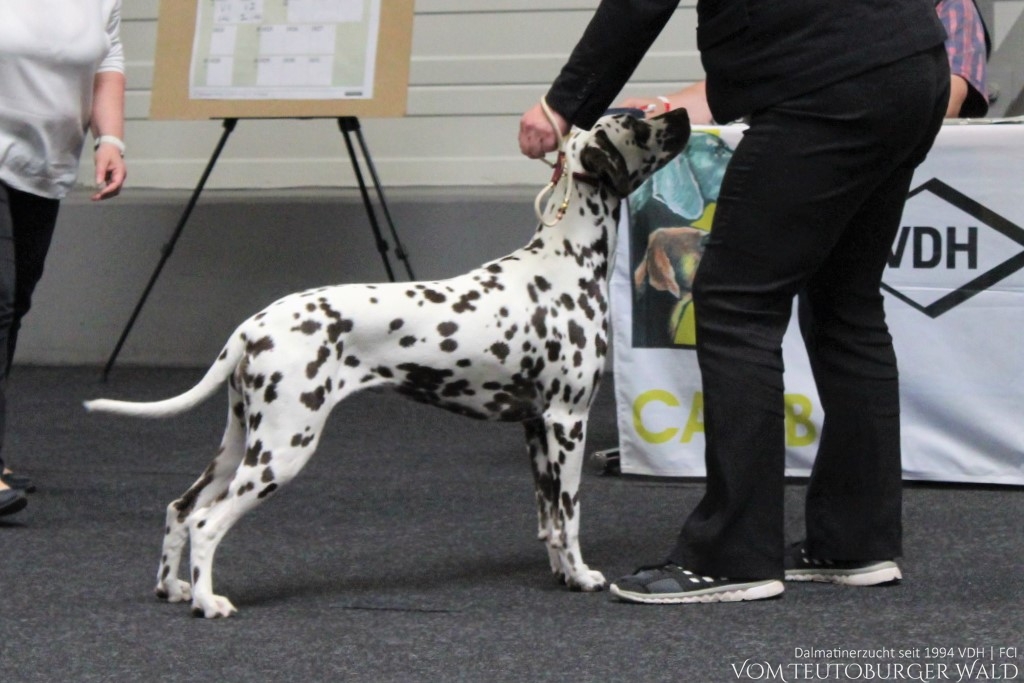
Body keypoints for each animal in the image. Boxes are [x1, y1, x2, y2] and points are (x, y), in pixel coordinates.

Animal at [83, 108, 692, 618]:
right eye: (638, 123)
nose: (684, 111)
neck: (562, 260)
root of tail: (252, 326)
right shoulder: (568, 423)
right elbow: (571, 514)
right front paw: (585, 576)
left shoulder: (535, 427)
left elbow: (549, 522)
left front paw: (563, 575)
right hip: (283, 449)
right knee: (207, 523)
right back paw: (208, 602)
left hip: (240, 444)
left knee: (181, 509)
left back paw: (173, 588)